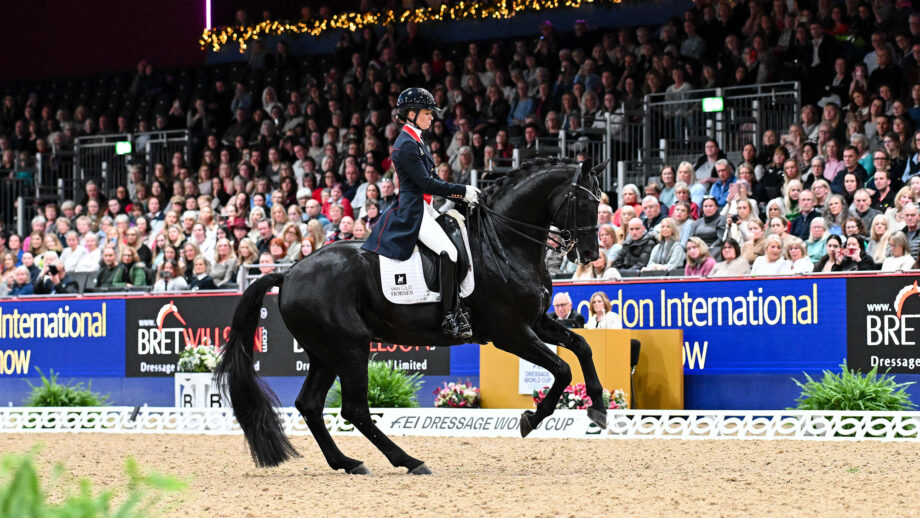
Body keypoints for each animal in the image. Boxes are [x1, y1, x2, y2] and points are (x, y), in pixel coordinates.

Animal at [217, 157, 608, 475]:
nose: (590, 255)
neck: (503, 243)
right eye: (584, 202)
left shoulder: (536, 322)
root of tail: (290, 273)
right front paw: (531, 419)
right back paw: (408, 461)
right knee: (354, 410)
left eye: (602, 201)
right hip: (350, 349)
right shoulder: (510, 332)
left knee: (310, 405)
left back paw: (347, 462)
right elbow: (562, 369)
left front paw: (598, 409)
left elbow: (583, 347)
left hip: (325, 353)